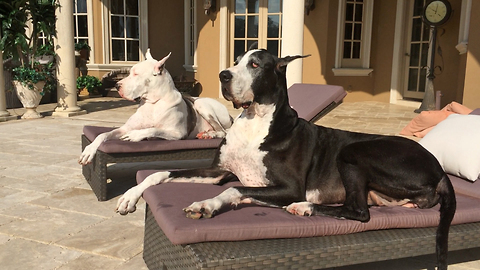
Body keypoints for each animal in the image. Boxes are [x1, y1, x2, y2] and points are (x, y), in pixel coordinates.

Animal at [79, 49, 232, 166]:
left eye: (136, 73)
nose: (117, 85)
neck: (153, 103)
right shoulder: (124, 129)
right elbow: (102, 134)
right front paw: (89, 150)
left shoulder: (178, 133)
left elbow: (153, 129)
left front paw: (135, 135)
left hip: (201, 104)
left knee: (223, 131)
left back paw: (210, 134)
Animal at [118, 49, 456, 268]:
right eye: (235, 61)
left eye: (255, 64)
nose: (223, 75)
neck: (256, 119)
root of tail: (439, 170)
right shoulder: (217, 171)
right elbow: (160, 173)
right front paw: (130, 195)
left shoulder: (289, 187)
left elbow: (233, 189)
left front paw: (207, 204)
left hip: (353, 151)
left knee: (359, 212)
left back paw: (304, 207)